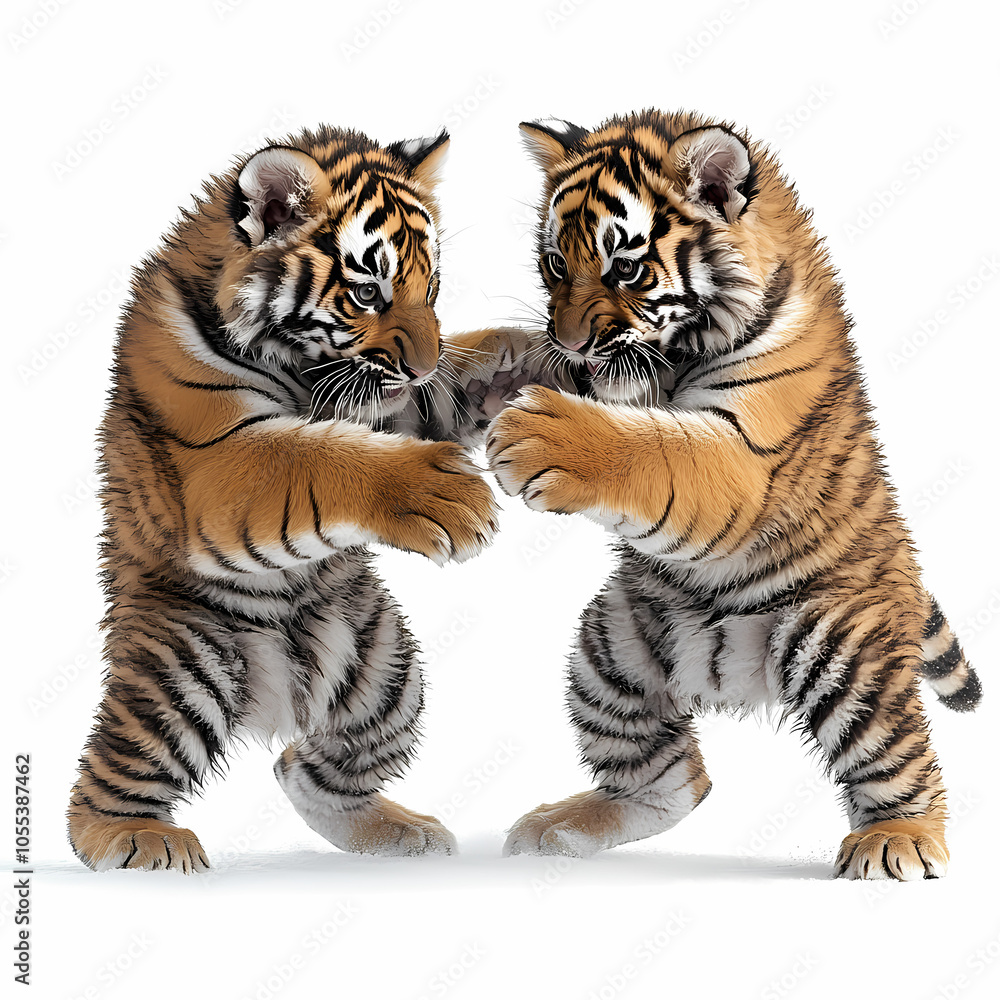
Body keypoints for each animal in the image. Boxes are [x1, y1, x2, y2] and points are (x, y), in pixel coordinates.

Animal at [67, 124, 525, 873]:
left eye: (431, 288)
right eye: (367, 293)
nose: (422, 367)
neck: (303, 367)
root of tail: (277, 699)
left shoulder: (399, 407)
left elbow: (475, 370)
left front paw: (553, 353)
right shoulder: (218, 460)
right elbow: (313, 456)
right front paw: (447, 493)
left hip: (386, 676)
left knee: (307, 767)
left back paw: (397, 832)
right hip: (180, 669)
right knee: (110, 777)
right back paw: (135, 837)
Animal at [487, 109, 982, 880]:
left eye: (625, 268)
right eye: (555, 265)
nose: (568, 345)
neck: (676, 354)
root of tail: (735, 685)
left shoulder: (745, 455)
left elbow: (657, 449)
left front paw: (539, 433)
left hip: (843, 647)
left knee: (897, 758)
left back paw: (897, 838)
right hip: (609, 654)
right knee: (676, 783)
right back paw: (560, 827)